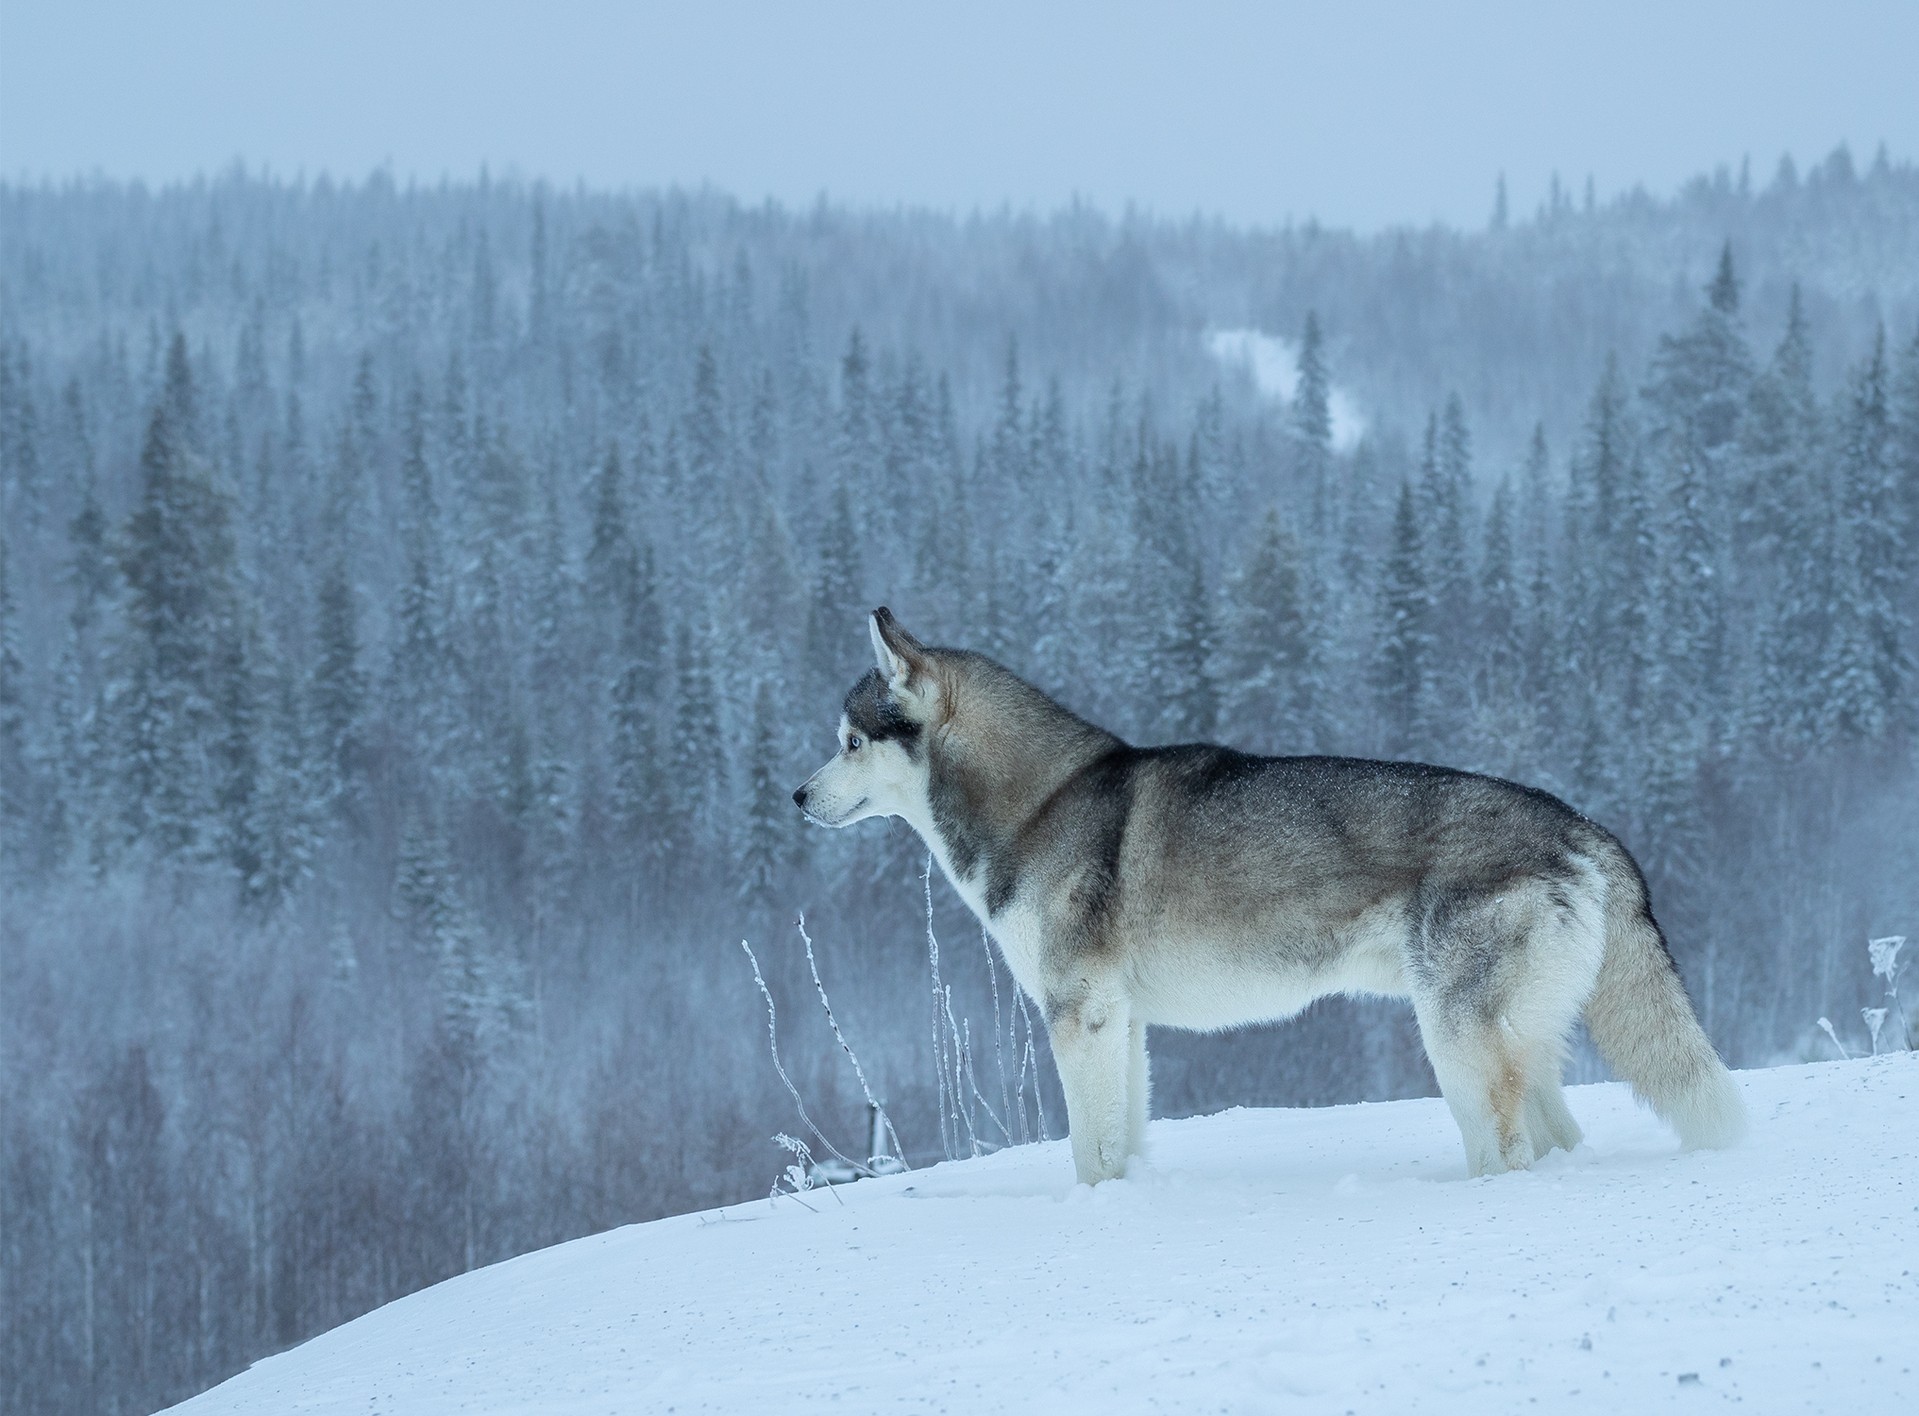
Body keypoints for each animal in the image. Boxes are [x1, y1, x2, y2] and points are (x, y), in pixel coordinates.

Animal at [786, 606, 1750, 1181]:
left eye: (847, 742)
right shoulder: (1120, 1025)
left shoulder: (1077, 1018)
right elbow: (1122, 1143)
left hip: (1457, 1045)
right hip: (1513, 1045)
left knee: (1508, 1149)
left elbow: (1088, 1154)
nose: (794, 798)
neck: (1041, 804)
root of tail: (1583, 826)